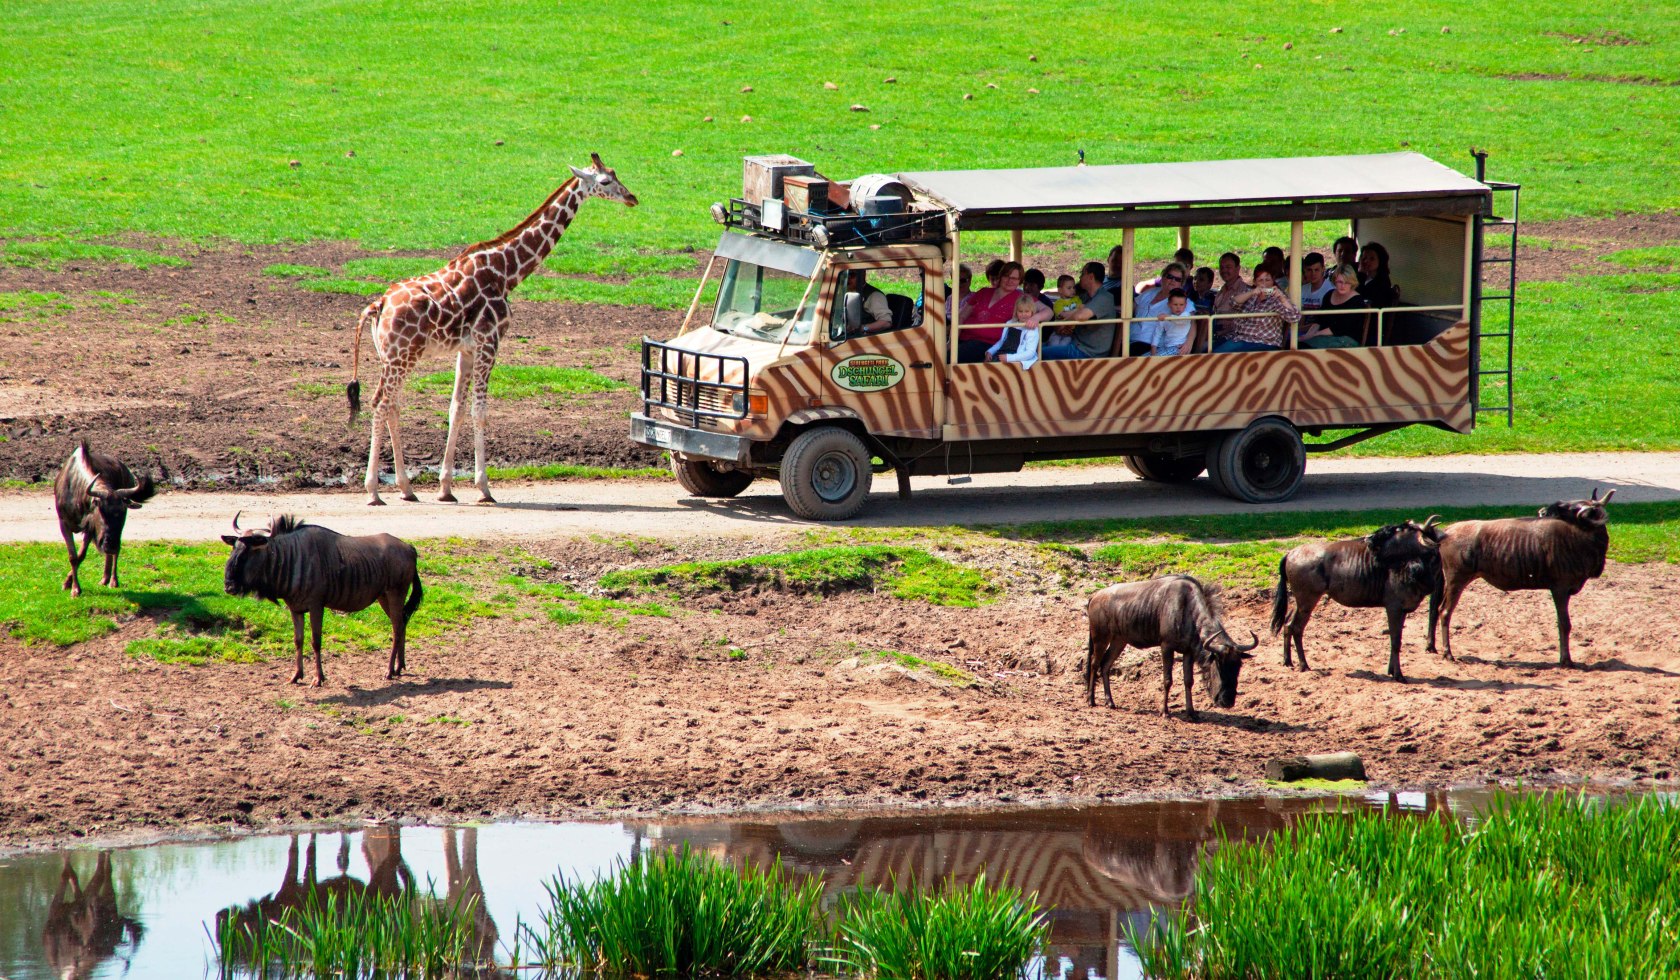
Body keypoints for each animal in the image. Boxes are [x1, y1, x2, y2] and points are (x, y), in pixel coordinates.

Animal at [351, 154, 638, 511]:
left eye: (615, 175)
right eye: (605, 182)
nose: (632, 198)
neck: (506, 272)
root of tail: (378, 305)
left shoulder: (467, 348)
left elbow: (456, 410)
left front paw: (446, 489)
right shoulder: (491, 341)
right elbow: (480, 412)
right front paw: (484, 488)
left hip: (395, 357)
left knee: (392, 405)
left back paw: (406, 488)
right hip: (401, 356)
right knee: (380, 403)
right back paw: (373, 492)